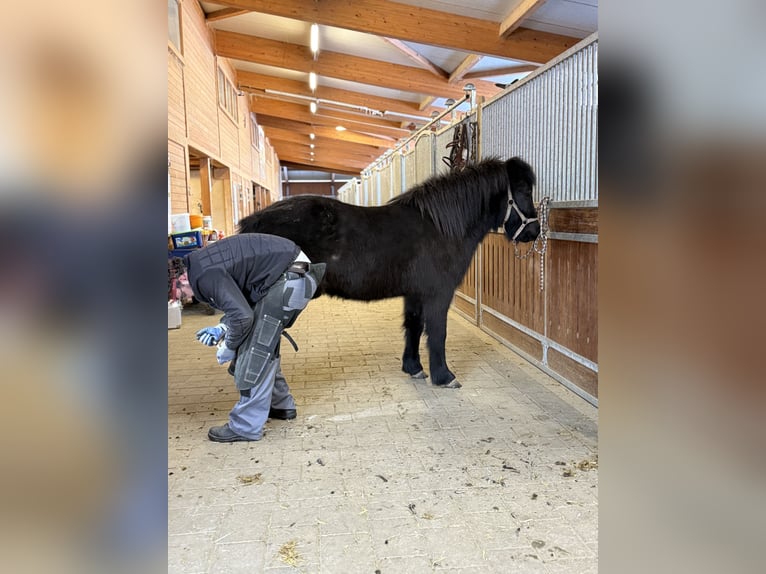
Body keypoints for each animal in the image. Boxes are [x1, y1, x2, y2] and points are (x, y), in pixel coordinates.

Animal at [238, 157, 540, 388]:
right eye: (524, 191)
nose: (535, 232)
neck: (440, 228)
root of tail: (253, 221)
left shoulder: (415, 294)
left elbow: (414, 327)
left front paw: (414, 367)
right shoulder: (438, 294)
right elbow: (437, 333)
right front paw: (444, 376)